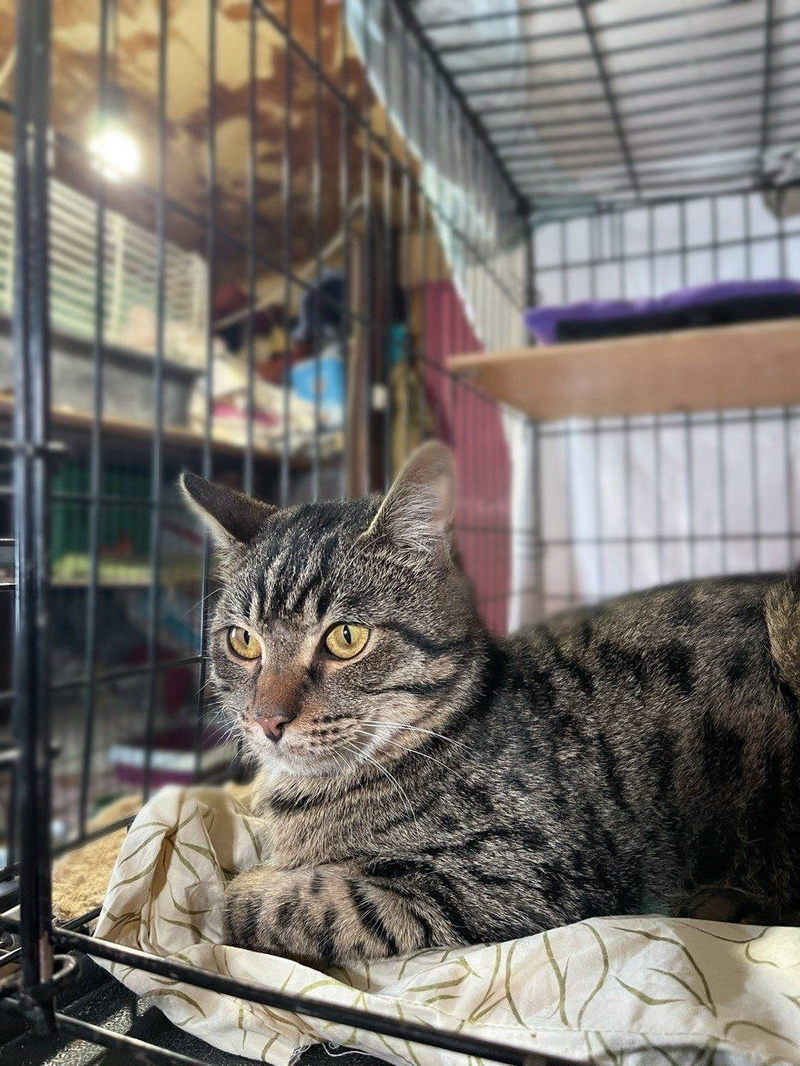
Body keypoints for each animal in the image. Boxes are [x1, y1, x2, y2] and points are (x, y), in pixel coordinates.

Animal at [181, 441, 800, 968]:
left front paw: (252, 887)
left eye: (346, 638)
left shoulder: (517, 877)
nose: (267, 720)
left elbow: (287, 903)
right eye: (243, 641)